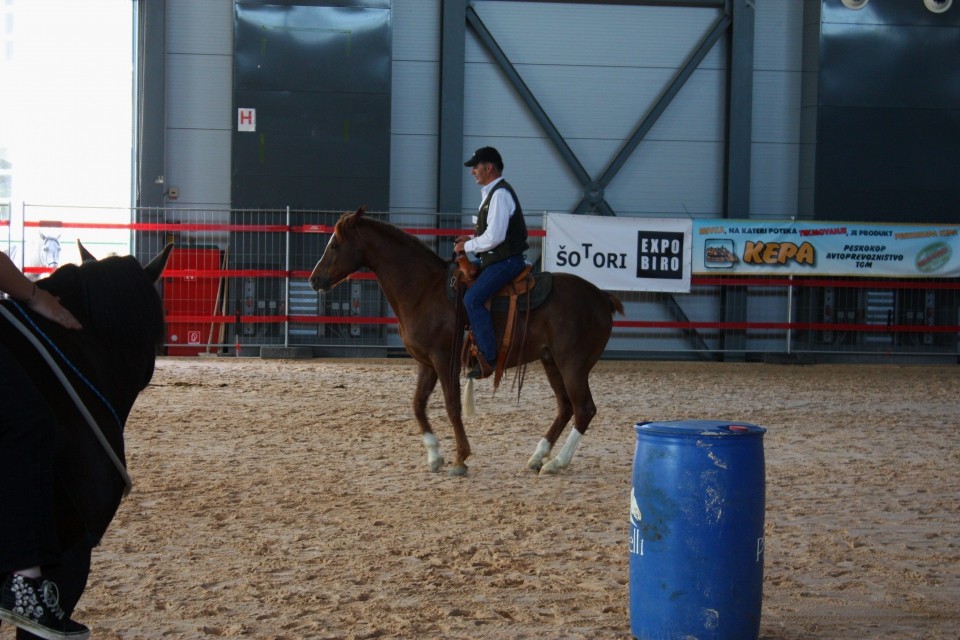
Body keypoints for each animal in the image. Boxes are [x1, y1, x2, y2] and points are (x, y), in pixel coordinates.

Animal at [308, 208, 624, 478]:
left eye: (335, 245)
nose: (314, 279)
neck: (423, 290)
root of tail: (602, 297)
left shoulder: (443, 360)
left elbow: (451, 406)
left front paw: (460, 458)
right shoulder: (426, 362)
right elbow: (418, 404)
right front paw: (434, 455)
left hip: (573, 364)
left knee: (584, 409)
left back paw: (557, 462)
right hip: (551, 362)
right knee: (565, 407)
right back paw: (538, 457)